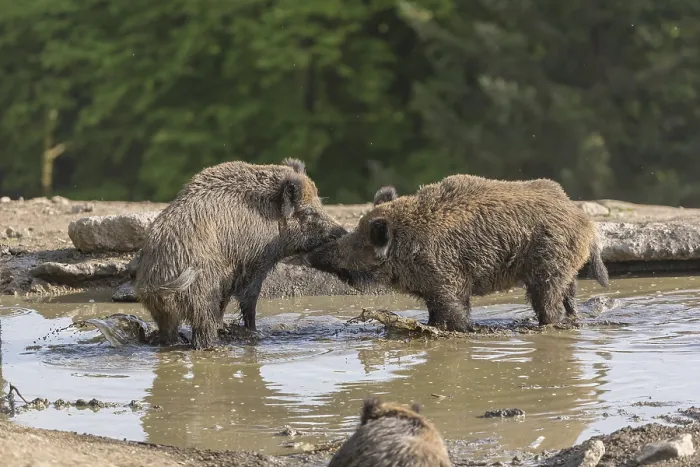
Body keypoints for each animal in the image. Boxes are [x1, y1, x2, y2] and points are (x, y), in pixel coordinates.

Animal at [133, 158, 346, 350]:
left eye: (320, 203)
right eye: (309, 212)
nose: (343, 232)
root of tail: (156, 280)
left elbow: (227, 302)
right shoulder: (257, 260)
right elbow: (249, 297)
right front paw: (255, 333)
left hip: (162, 312)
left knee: (169, 335)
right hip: (201, 296)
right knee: (203, 334)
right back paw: (216, 346)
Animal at [304, 174, 609, 331]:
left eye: (360, 240)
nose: (311, 254)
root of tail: (585, 222)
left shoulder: (447, 280)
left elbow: (456, 313)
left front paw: (462, 330)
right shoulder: (432, 289)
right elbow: (435, 315)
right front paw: (430, 325)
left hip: (548, 267)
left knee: (549, 303)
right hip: (567, 269)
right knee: (569, 297)